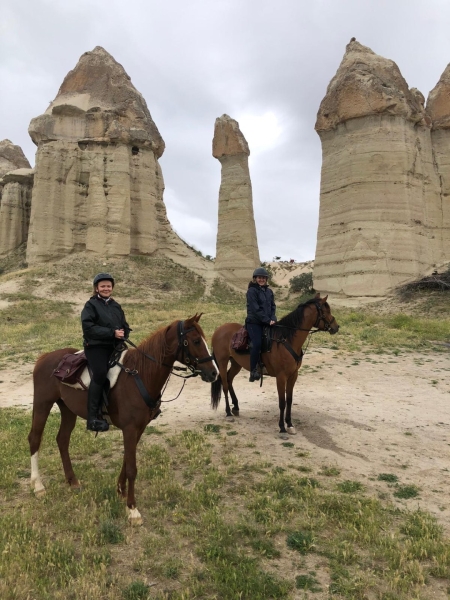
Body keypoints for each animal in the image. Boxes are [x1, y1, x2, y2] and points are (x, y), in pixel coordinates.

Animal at [28, 314, 218, 524]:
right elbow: (132, 468)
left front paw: (120, 490)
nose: (214, 373)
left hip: (68, 410)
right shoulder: (129, 428)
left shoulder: (139, 428)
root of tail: (44, 358)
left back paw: (73, 481)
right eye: (196, 341)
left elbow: (127, 461)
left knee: (62, 440)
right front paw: (132, 509)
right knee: (35, 439)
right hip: (43, 404)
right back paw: (38, 486)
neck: (140, 376)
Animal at [210, 296, 338, 434]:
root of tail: (219, 329)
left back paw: (236, 407)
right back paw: (228, 412)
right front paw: (282, 428)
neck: (286, 340)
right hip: (222, 362)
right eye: (326, 311)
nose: (336, 327)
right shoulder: (281, 377)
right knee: (224, 385)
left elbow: (289, 400)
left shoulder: (293, 375)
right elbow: (282, 402)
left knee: (229, 380)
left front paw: (290, 424)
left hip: (236, 363)